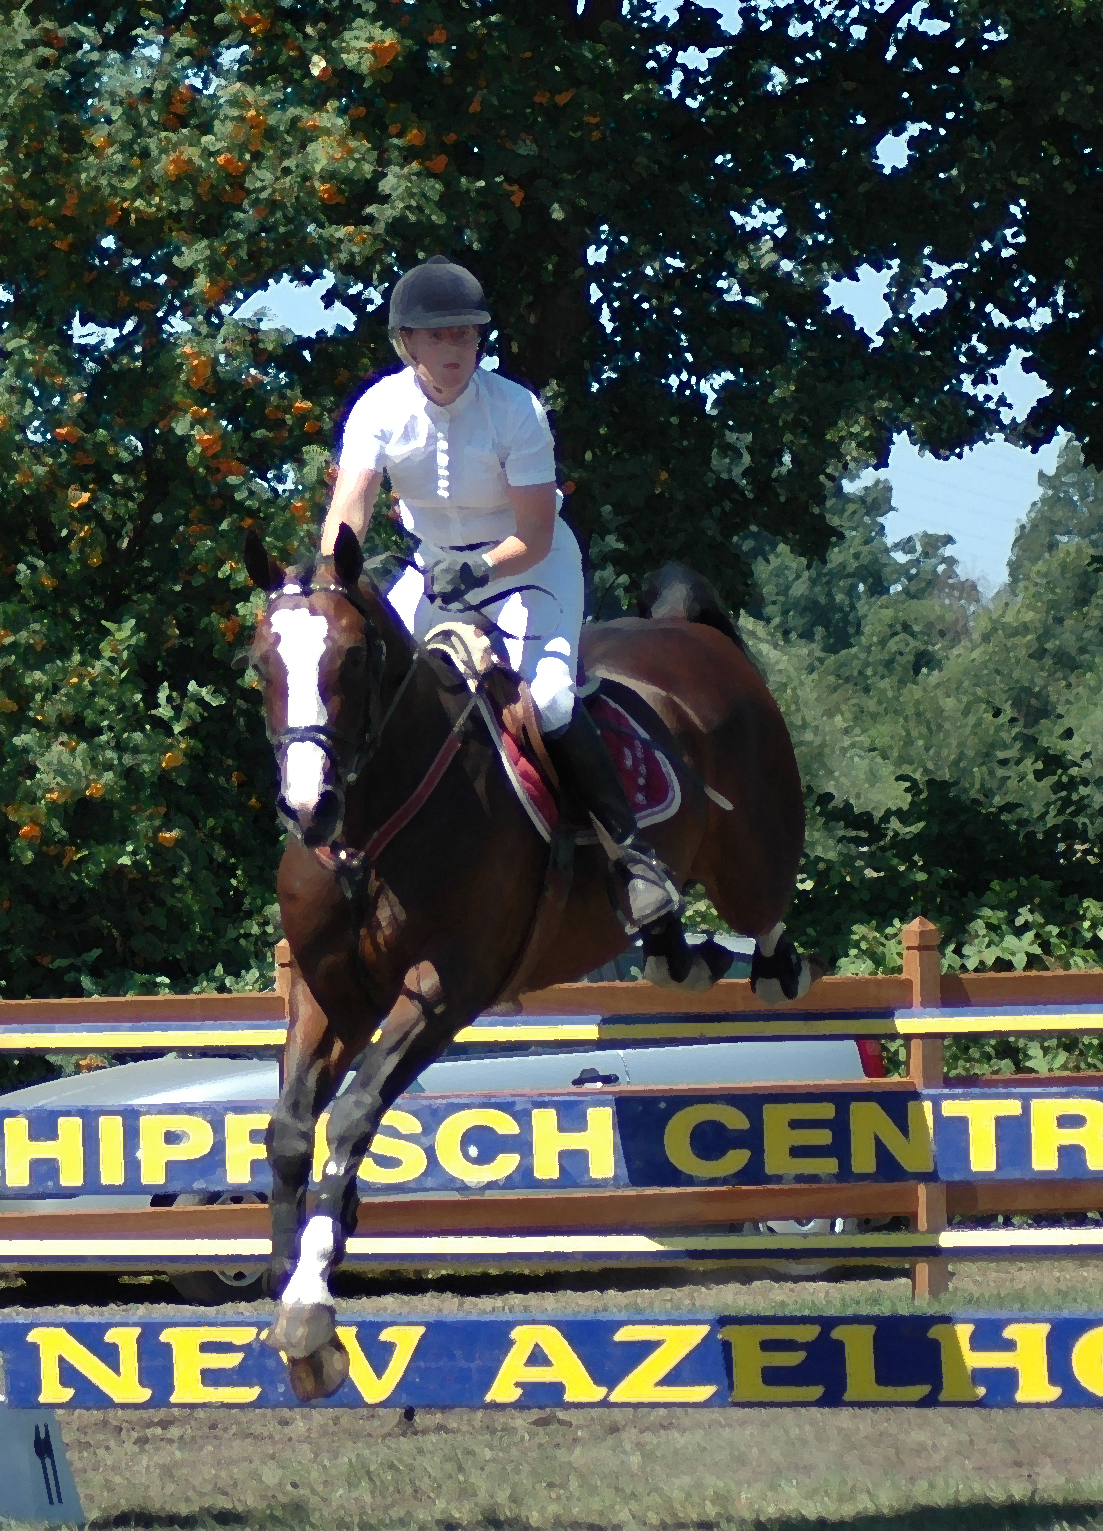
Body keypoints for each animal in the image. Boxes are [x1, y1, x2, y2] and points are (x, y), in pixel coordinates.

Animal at [242, 524, 810, 1402]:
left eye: (352, 657)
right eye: (261, 662)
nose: (309, 807)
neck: (373, 823)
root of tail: (693, 637)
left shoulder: (443, 989)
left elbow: (354, 1112)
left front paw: (310, 1307)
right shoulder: (325, 992)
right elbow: (293, 1130)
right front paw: (286, 1284)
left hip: (753, 859)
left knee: (769, 916)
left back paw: (770, 966)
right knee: (673, 933)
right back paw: (674, 949)